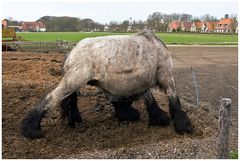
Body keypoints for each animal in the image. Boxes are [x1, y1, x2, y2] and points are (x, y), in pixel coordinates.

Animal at [21, 30, 193, 140]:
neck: (156, 47)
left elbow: (148, 99)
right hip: (72, 81)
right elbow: (174, 101)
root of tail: (71, 52)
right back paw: (31, 129)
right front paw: (182, 125)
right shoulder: (167, 79)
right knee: (50, 99)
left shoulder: (140, 82)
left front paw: (155, 117)